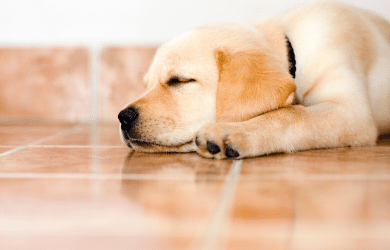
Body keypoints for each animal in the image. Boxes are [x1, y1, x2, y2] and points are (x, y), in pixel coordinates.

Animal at [118, 0, 390, 159]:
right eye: (146, 85)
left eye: (180, 80)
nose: (123, 117)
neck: (292, 48)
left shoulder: (350, 111)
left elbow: (291, 114)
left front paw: (232, 131)